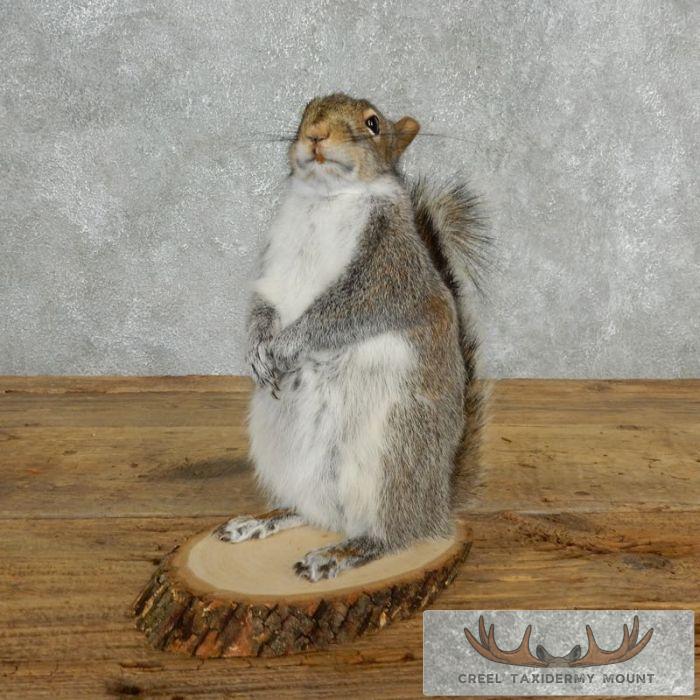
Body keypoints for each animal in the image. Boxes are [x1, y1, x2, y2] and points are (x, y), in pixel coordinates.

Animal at [216, 93, 487, 582]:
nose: (316, 134)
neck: (326, 200)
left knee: (392, 534)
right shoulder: (271, 269)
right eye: (305, 110)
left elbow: (342, 314)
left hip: (393, 457)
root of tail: (436, 505)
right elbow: (262, 305)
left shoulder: (388, 272)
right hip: (281, 452)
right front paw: (258, 349)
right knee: (312, 512)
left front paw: (286, 344)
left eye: (373, 124)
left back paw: (341, 553)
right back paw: (262, 521)